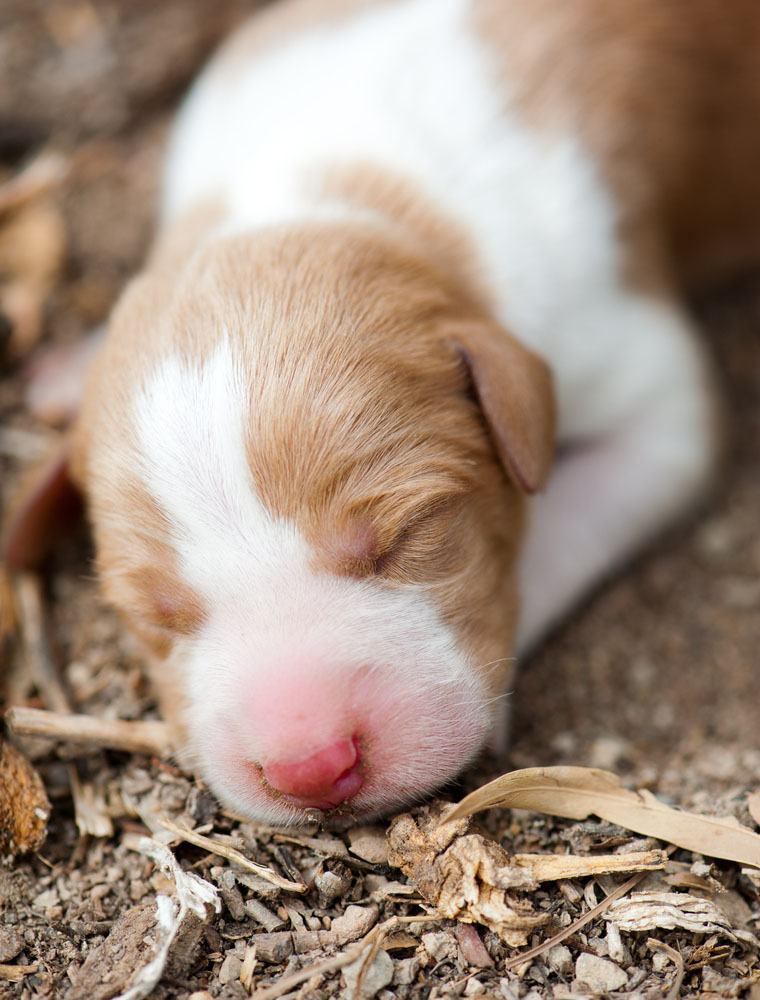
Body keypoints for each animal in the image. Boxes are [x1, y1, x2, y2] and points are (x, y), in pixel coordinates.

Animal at [5, 0, 760, 824]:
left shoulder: (645, 385)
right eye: (152, 613)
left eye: (408, 537)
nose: (310, 766)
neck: (320, 182)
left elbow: (562, 523)